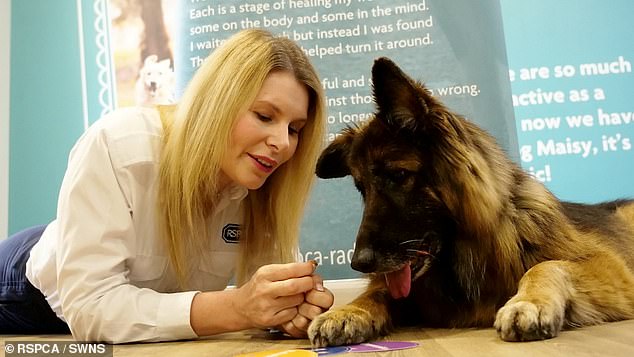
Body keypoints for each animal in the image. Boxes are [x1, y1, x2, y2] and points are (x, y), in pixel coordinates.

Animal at [308, 57, 632, 344]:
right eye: (361, 187)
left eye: (398, 175)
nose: (359, 263)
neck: (466, 251)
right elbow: (379, 289)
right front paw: (348, 311)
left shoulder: (607, 266)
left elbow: (547, 265)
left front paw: (528, 302)